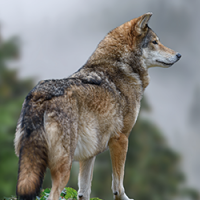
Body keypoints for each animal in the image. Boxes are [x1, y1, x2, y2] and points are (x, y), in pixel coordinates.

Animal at [14, 12, 181, 200]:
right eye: (155, 42)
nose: (179, 55)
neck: (121, 68)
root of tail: (39, 95)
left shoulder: (89, 153)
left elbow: (84, 191)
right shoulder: (121, 139)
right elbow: (118, 185)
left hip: (30, 168)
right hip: (63, 168)